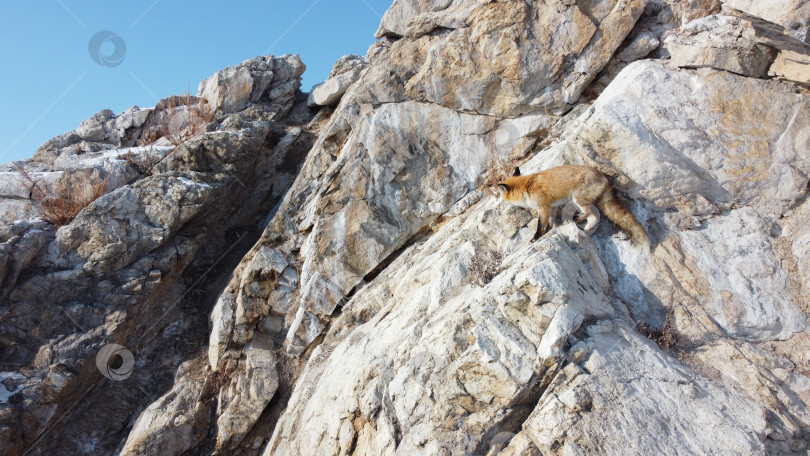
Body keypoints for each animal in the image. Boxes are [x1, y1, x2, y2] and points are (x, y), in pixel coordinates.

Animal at [496, 167, 648, 255]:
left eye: (502, 197)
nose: (502, 205)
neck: (526, 187)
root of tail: (604, 177)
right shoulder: (552, 206)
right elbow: (549, 223)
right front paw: (549, 230)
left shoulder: (543, 207)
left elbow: (540, 226)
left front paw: (535, 238)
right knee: (593, 217)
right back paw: (583, 225)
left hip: (577, 198)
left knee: (592, 215)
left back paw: (577, 221)